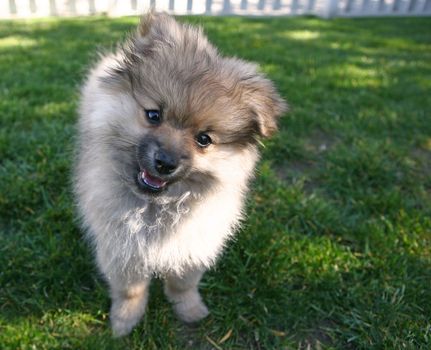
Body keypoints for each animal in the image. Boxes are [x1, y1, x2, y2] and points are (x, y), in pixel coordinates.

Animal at [74, 13, 286, 336]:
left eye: (204, 139)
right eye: (153, 115)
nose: (165, 162)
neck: (157, 207)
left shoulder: (194, 242)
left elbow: (183, 283)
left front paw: (190, 310)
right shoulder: (121, 249)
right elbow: (131, 290)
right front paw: (125, 321)